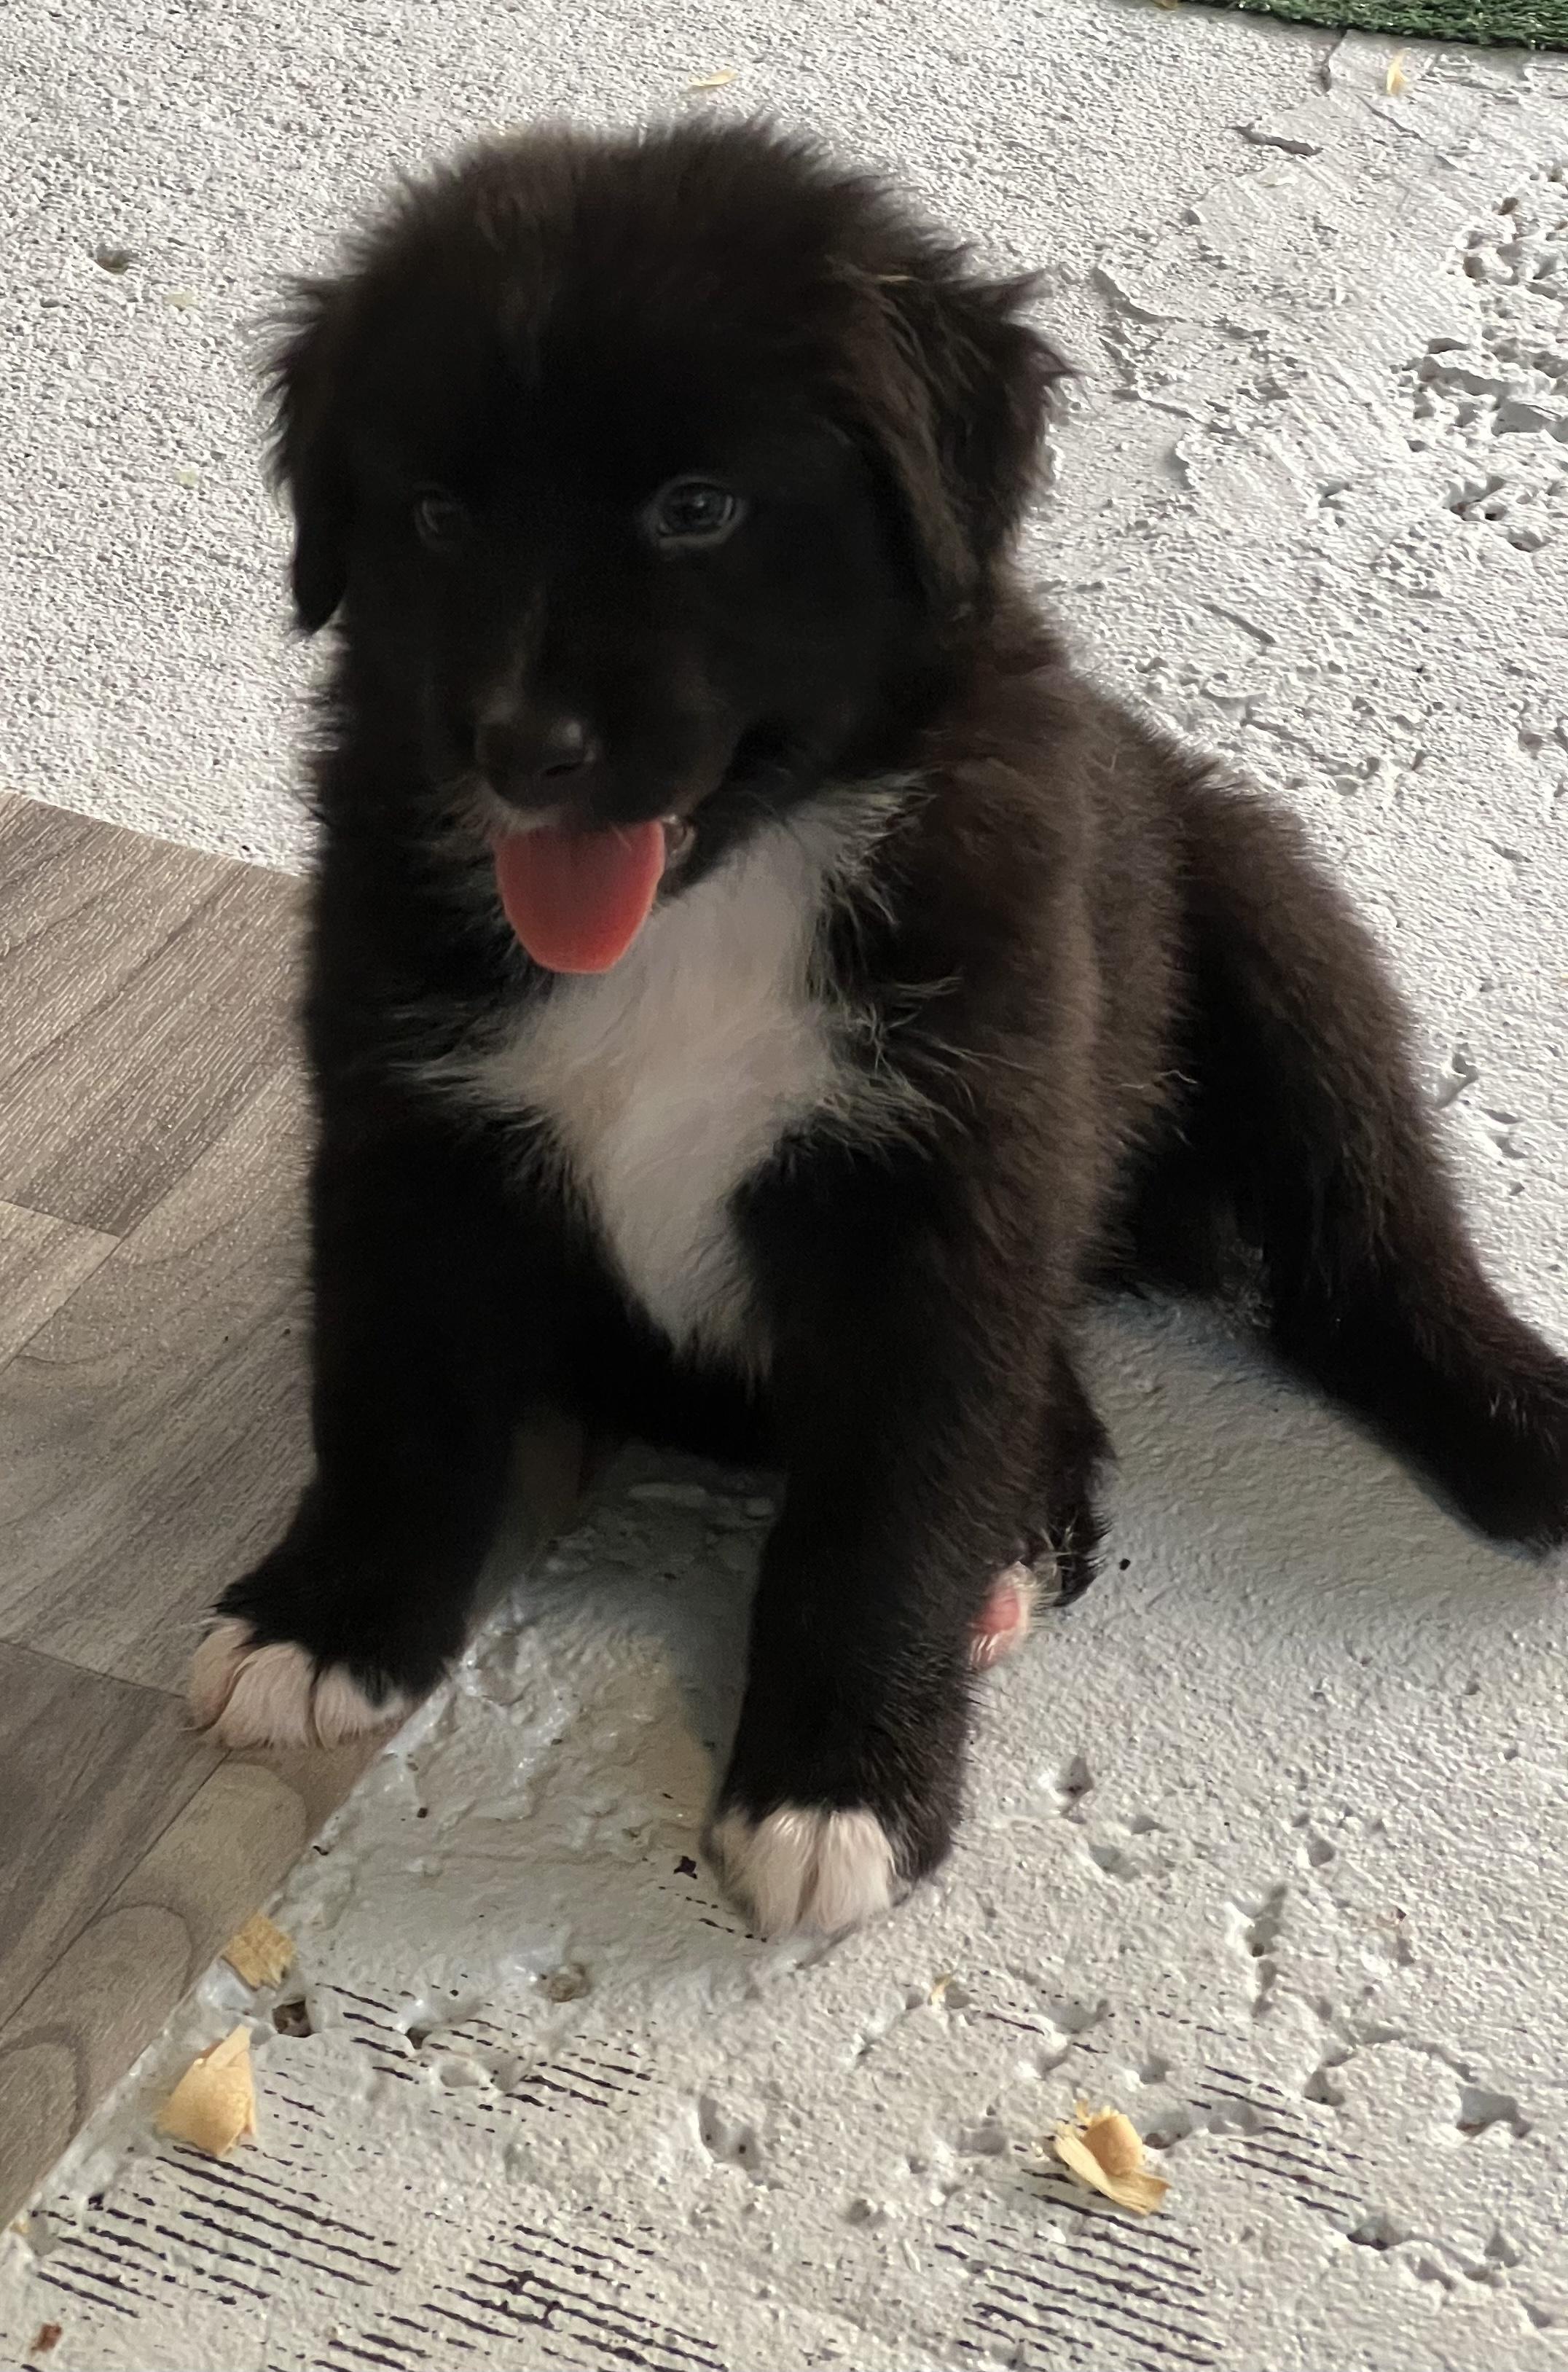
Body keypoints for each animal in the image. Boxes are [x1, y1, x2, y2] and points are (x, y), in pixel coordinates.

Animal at [192, 119, 1568, 1938]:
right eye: (433, 514)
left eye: (697, 509)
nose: (520, 750)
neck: (709, 901)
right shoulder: (410, 1122)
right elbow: (393, 1393)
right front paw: (324, 1621)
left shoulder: (943, 1178)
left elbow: (885, 1506)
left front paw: (837, 1783)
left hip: (1272, 931)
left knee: (1370, 1247)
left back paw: (1518, 1422)